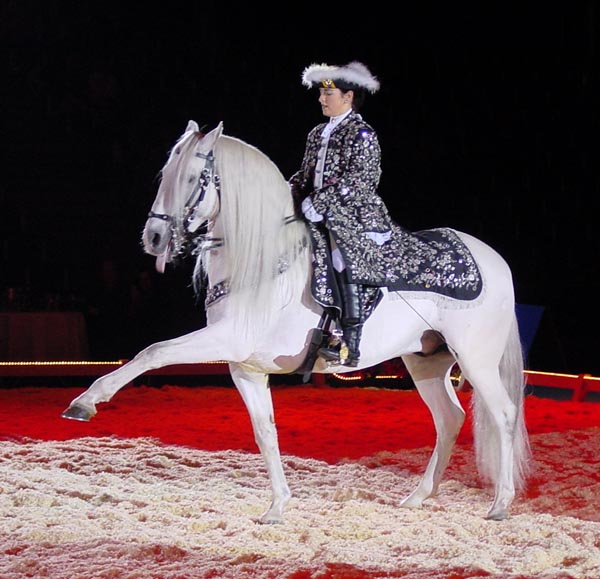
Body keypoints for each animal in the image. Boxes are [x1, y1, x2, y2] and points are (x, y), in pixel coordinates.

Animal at [62, 120, 528, 524]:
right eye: (165, 174)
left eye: (195, 178)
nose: (154, 238)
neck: (260, 261)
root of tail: (495, 259)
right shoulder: (245, 366)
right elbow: (265, 432)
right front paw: (277, 507)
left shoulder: (223, 340)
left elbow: (153, 351)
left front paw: (87, 401)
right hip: (426, 360)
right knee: (449, 419)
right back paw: (417, 496)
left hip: (476, 359)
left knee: (503, 413)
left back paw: (500, 504)